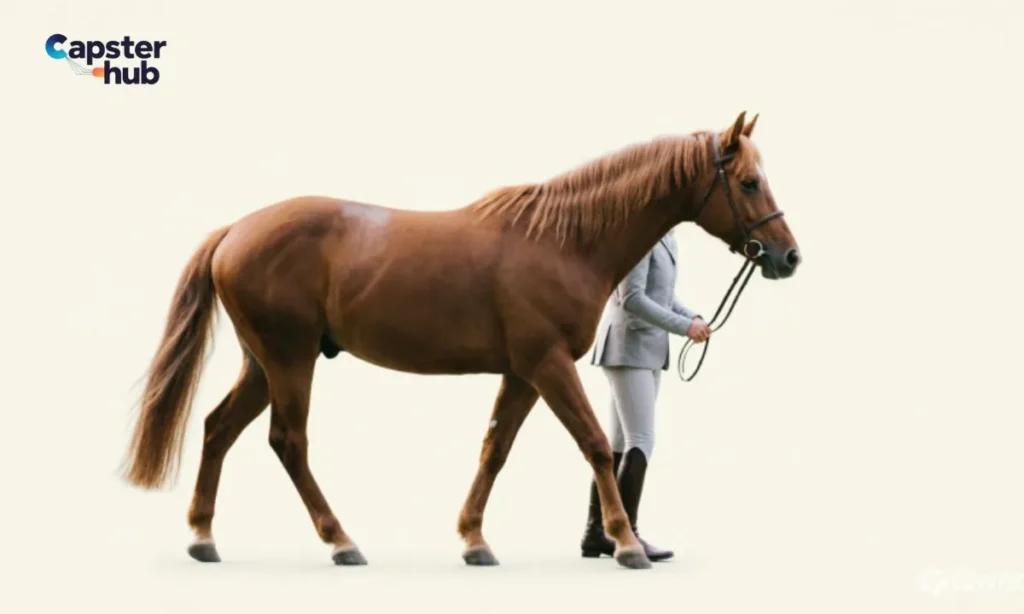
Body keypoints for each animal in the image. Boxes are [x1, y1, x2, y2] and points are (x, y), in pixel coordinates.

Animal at [120, 111, 801, 570]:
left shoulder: (523, 372)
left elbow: (494, 450)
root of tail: (236, 229)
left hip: (264, 363)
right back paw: (342, 542)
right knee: (288, 442)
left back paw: (204, 537)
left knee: (217, 429)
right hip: (289, 361)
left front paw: (475, 540)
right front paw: (627, 545)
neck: (564, 241)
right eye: (747, 182)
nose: (788, 257)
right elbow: (595, 446)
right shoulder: (549, 364)